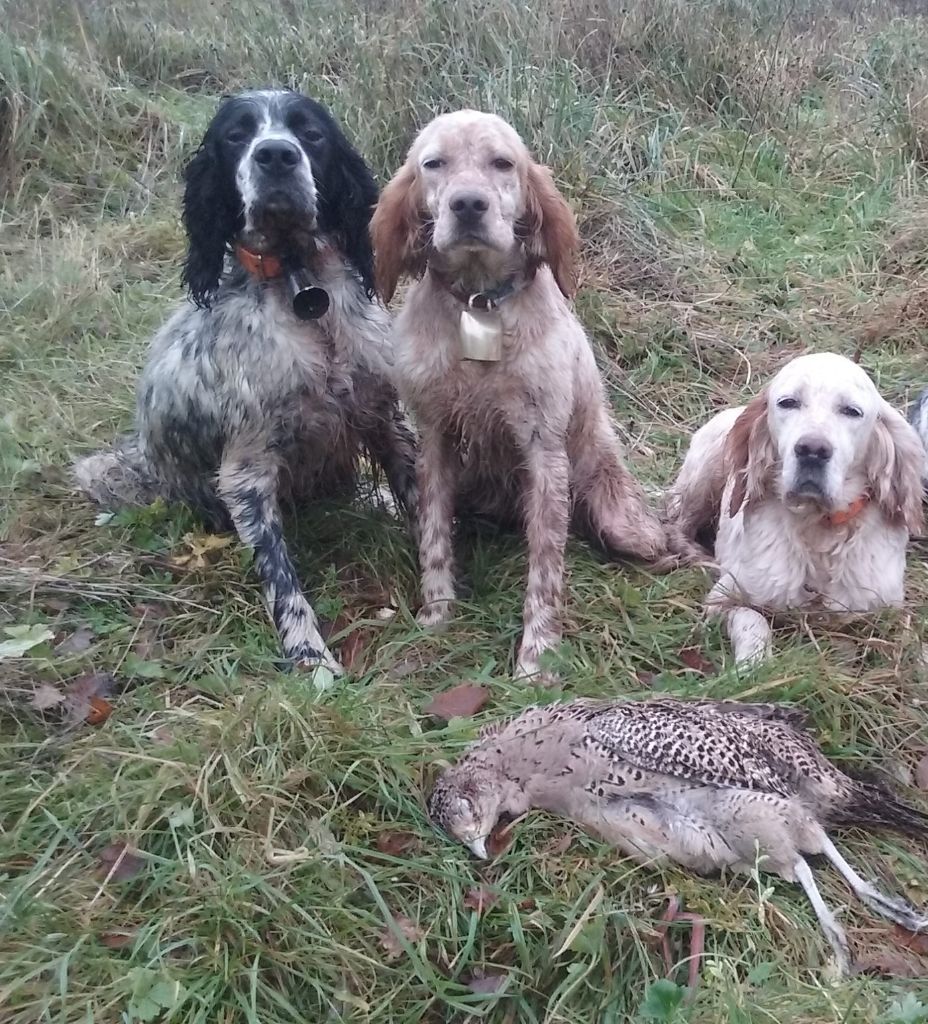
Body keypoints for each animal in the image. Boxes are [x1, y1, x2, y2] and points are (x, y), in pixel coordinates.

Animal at [75, 92, 415, 675]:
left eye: (310, 132)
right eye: (236, 135)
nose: (275, 155)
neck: (303, 290)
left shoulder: (383, 417)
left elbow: (421, 500)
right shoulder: (247, 473)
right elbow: (281, 578)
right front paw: (310, 656)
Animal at [663, 352, 917, 667]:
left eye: (852, 411)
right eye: (788, 402)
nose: (812, 450)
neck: (817, 529)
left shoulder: (882, 612)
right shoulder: (724, 598)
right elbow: (753, 619)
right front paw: (753, 664)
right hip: (705, 473)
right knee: (677, 523)